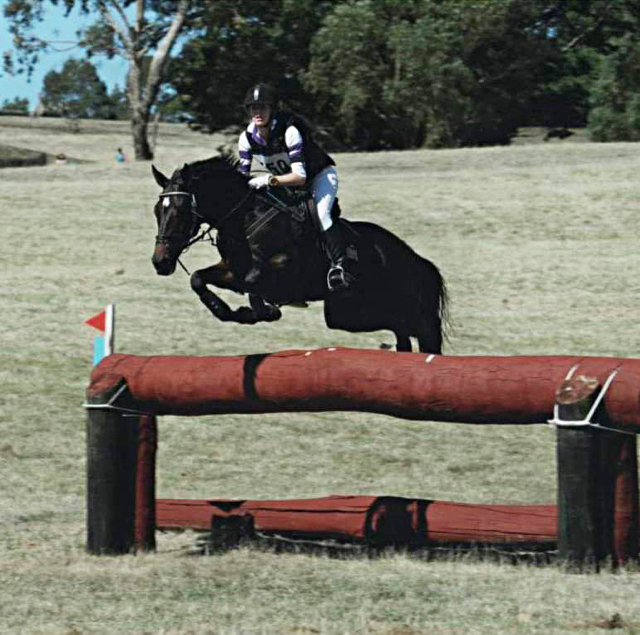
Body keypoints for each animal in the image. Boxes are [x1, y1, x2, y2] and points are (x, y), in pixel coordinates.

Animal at [152, 154, 448, 352]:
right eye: (157, 211)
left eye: (179, 210)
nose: (160, 262)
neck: (245, 218)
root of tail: (417, 261)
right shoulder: (231, 270)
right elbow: (198, 279)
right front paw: (231, 311)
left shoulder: (285, 271)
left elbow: (254, 282)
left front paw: (263, 311)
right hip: (346, 314)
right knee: (400, 331)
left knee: (416, 330)